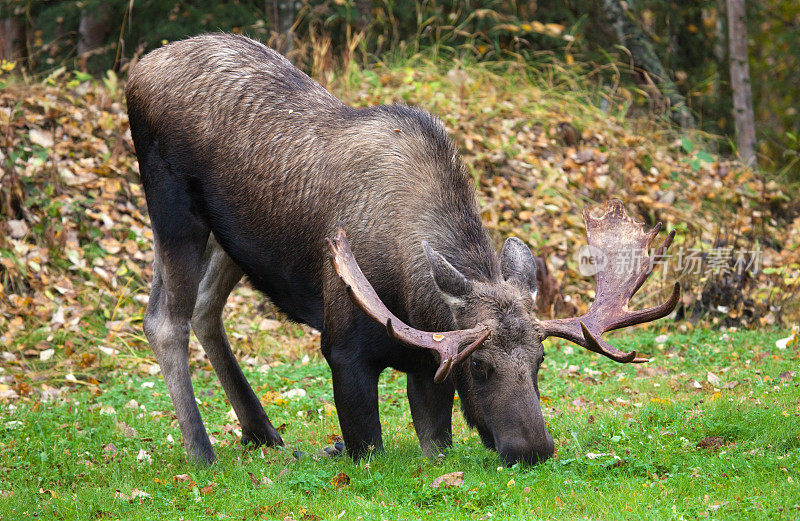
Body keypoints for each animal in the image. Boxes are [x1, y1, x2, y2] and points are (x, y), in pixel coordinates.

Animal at [128, 34, 680, 466]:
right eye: (478, 366)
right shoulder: (344, 350)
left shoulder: (427, 364)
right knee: (164, 319)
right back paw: (202, 450)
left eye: (541, 360)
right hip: (173, 209)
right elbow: (366, 445)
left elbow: (436, 443)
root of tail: (137, 69)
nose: (534, 449)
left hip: (231, 239)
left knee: (205, 308)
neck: (411, 300)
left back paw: (263, 434)